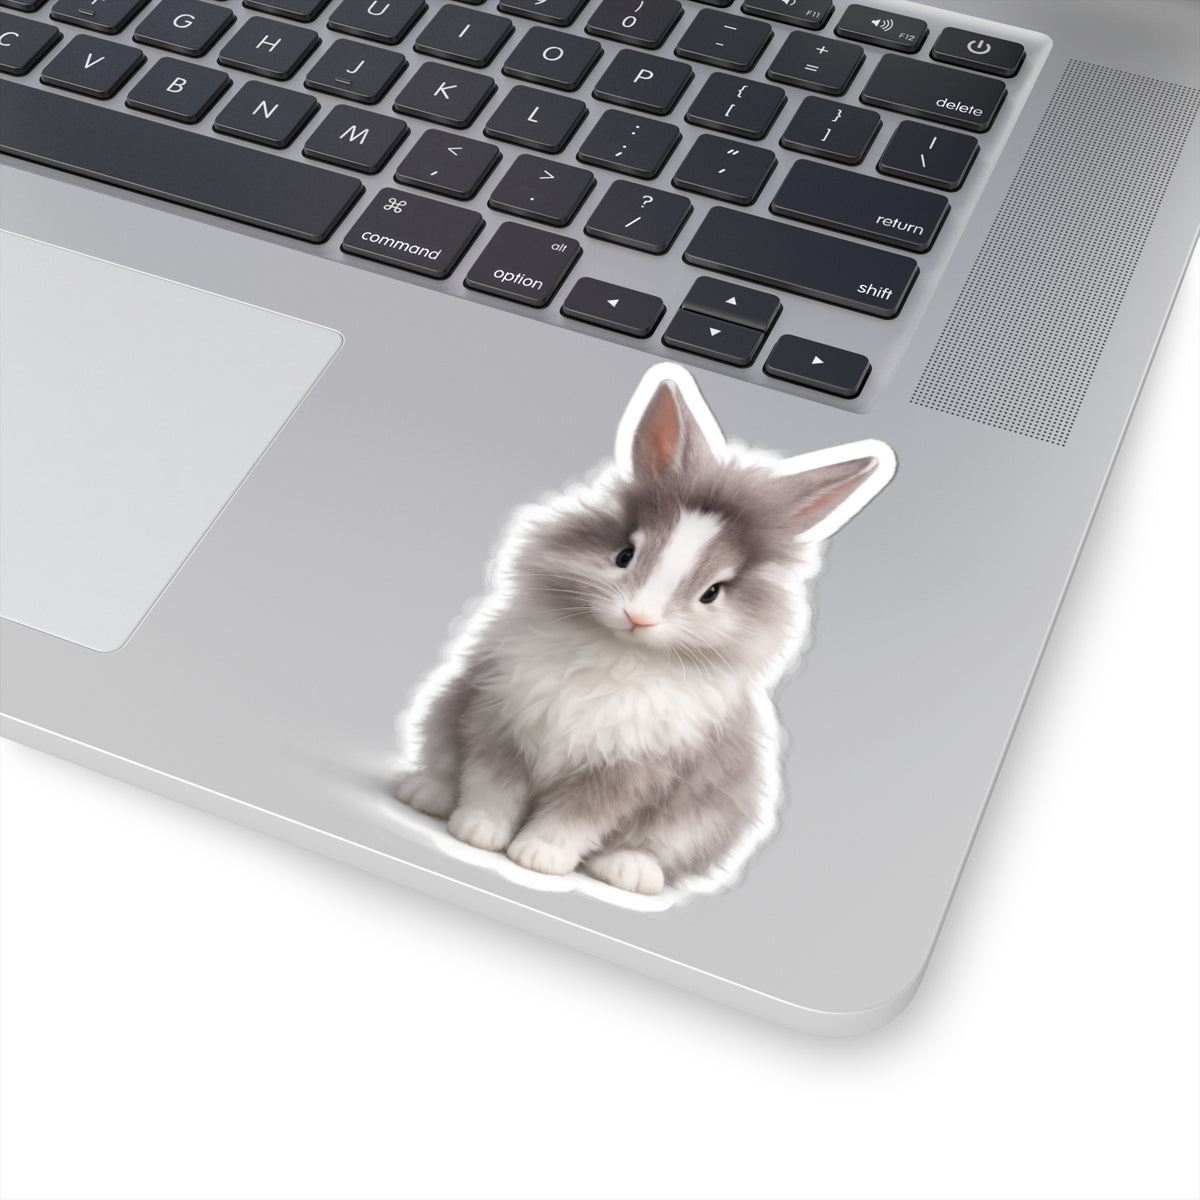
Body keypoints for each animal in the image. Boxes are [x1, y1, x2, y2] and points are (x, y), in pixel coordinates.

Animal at [395, 365, 895, 897]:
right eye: (624, 554)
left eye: (712, 593)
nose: (640, 616)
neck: (618, 654)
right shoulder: (498, 723)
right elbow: (492, 787)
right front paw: (478, 832)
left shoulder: (629, 772)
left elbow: (576, 819)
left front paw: (538, 857)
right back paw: (424, 793)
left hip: (703, 815)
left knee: (661, 853)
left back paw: (630, 872)